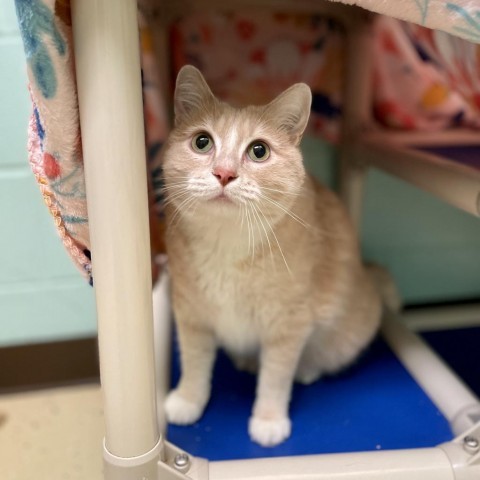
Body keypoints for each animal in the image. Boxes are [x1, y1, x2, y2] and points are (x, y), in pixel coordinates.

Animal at [160, 64, 394, 446]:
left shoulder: (288, 324)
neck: (227, 245)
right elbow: (195, 363)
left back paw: (306, 369)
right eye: (202, 142)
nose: (224, 173)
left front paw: (268, 420)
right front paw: (188, 400)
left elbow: (275, 376)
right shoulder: (191, 314)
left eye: (259, 151)